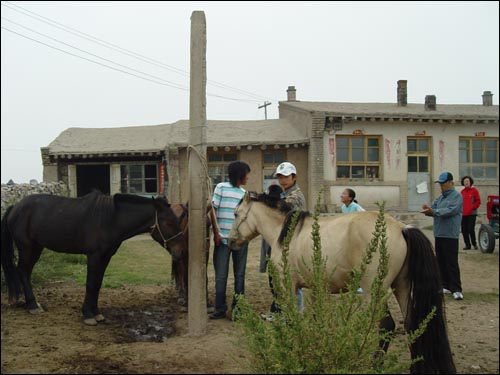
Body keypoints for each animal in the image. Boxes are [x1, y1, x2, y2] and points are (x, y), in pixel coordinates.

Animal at [0, 191, 187, 326]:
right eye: (169, 223)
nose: (180, 252)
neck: (110, 218)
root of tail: (15, 207)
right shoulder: (94, 256)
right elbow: (90, 284)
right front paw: (88, 315)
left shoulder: (105, 257)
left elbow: (97, 284)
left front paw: (96, 312)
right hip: (27, 248)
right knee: (23, 272)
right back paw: (32, 305)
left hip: (36, 248)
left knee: (24, 272)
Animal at [229, 192, 458, 374]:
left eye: (236, 214)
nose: (230, 241)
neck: (287, 233)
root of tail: (402, 228)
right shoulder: (314, 289)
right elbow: (315, 322)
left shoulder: (290, 287)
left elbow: (293, 321)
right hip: (401, 287)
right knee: (412, 325)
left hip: (375, 290)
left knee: (387, 325)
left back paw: (375, 366)